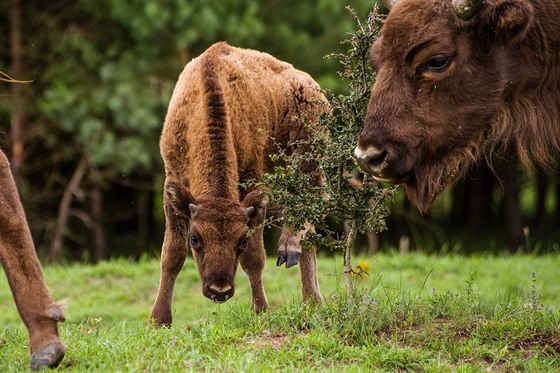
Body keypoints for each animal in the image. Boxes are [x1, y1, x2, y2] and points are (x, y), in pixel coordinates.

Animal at [150, 41, 328, 326]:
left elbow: (255, 259)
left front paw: (260, 310)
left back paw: (290, 252)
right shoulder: (173, 183)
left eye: (241, 241)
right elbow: (172, 256)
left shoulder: (254, 185)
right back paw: (312, 302)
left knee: (306, 213)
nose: (219, 290)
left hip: (309, 163)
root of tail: (313, 88)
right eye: (195, 239)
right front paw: (159, 320)